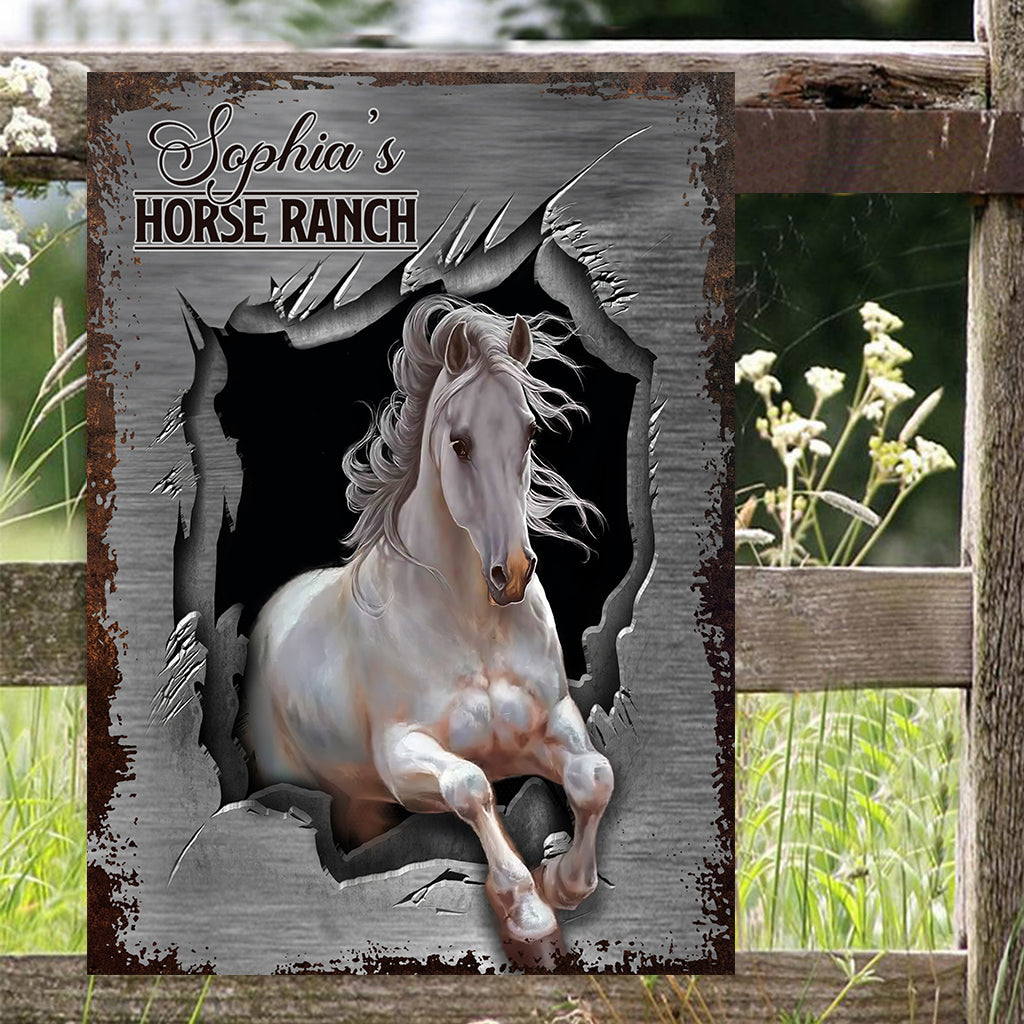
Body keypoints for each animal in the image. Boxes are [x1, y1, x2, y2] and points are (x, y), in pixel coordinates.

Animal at [245, 295, 614, 967]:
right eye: (460, 443)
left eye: (528, 432)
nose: (511, 572)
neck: (472, 625)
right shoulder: (404, 759)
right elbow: (471, 787)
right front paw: (526, 911)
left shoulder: (549, 722)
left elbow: (593, 777)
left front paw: (562, 882)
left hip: (364, 802)